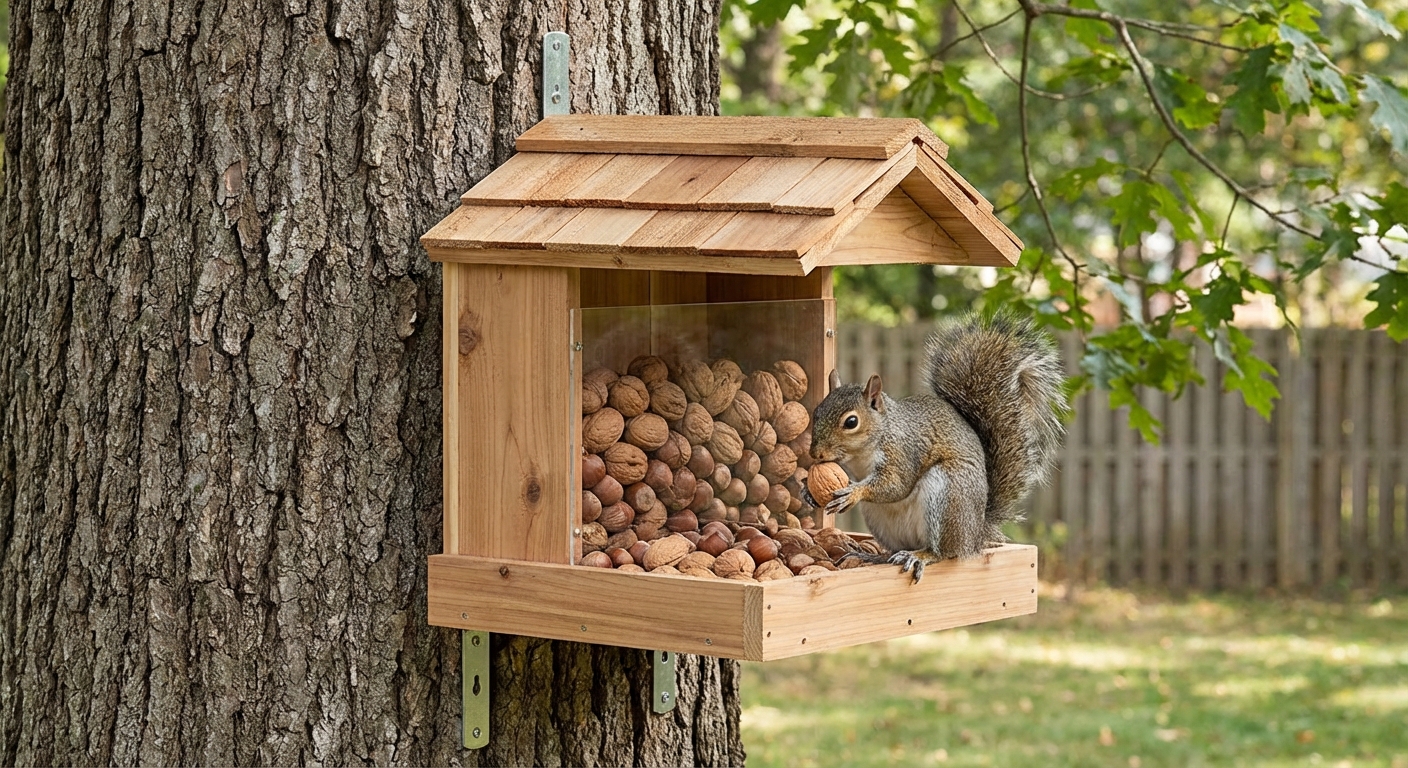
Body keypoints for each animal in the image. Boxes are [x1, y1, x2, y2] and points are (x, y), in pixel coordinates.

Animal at [806, 312, 1067, 582]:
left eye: (851, 422)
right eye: (817, 411)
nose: (815, 453)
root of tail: (975, 536)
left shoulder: (904, 451)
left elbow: (895, 485)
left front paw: (854, 492)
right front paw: (809, 493)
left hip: (948, 494)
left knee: (944, 552)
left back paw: (922, 555)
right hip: (881, 519)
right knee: (896, 551)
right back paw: (874, 557)